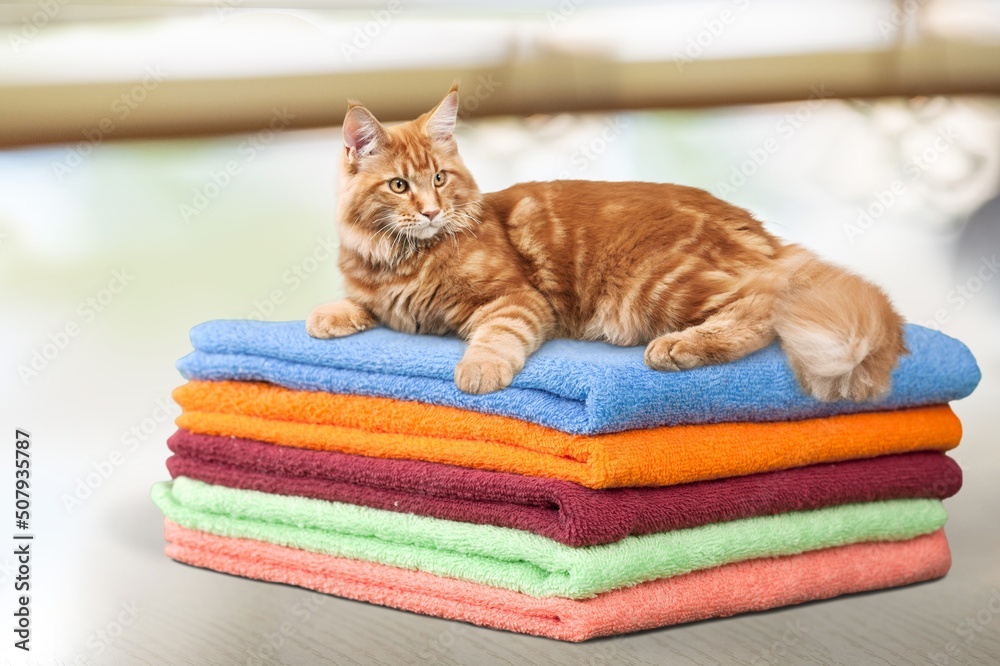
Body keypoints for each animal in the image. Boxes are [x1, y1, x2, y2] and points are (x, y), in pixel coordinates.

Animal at [306, 87, 908, 400]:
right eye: (399, 186)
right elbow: (358, 303)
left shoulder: (517, 300)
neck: (401, 261)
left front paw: (478, 371)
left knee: (764, 305)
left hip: (656, 283)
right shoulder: (381, 294)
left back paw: (679, 347)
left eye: (439, 179)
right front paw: (327, 316)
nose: (432, 212)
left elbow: (495, 337)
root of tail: (757, 230)